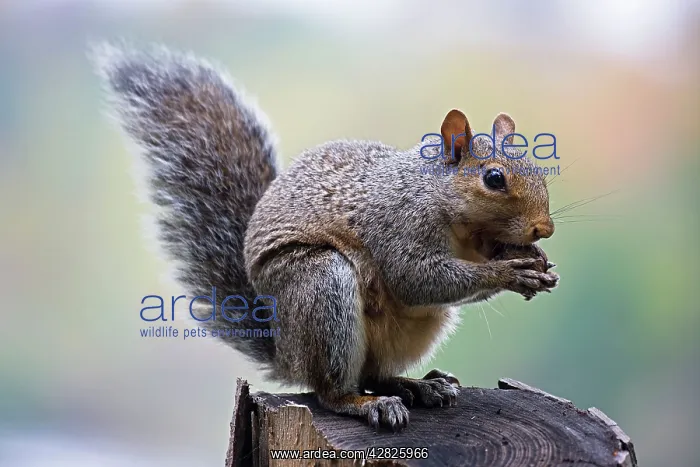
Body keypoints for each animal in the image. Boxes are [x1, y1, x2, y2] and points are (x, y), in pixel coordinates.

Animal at [93, 43, 559, 431]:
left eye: (538, 169)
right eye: (494, 178)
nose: (544, 228)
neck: (450, 212)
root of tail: (287, 353)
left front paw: (539, 263)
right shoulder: (397, 224)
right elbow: (415, 278)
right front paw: (511, 272)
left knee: (375, 373)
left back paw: (419, 386)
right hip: (321, 288)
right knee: (331, 391)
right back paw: (367, 403)